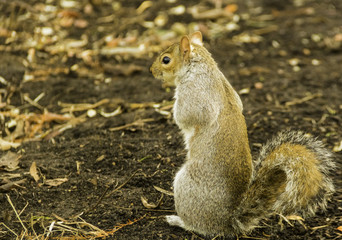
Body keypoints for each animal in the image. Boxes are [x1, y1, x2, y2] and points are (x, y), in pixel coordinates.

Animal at [150, 31, 336, 236]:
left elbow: (185, 116)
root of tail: (227, 222)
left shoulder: (195, 94)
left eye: (166, 59)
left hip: (185, 184)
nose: (151, 71)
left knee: (197, 226)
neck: (203, 66)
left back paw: (177, 220)